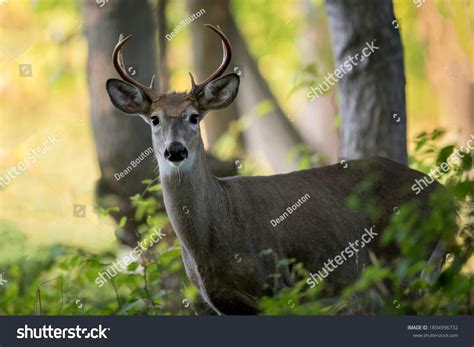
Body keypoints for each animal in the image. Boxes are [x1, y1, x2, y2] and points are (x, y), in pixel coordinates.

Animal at [105, 25, 450, 316]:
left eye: (193, 116)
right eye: (155, 119)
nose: (175, 150)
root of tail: (444, 193)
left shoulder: (277, 285)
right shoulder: (223, 303)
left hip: (409, 258)